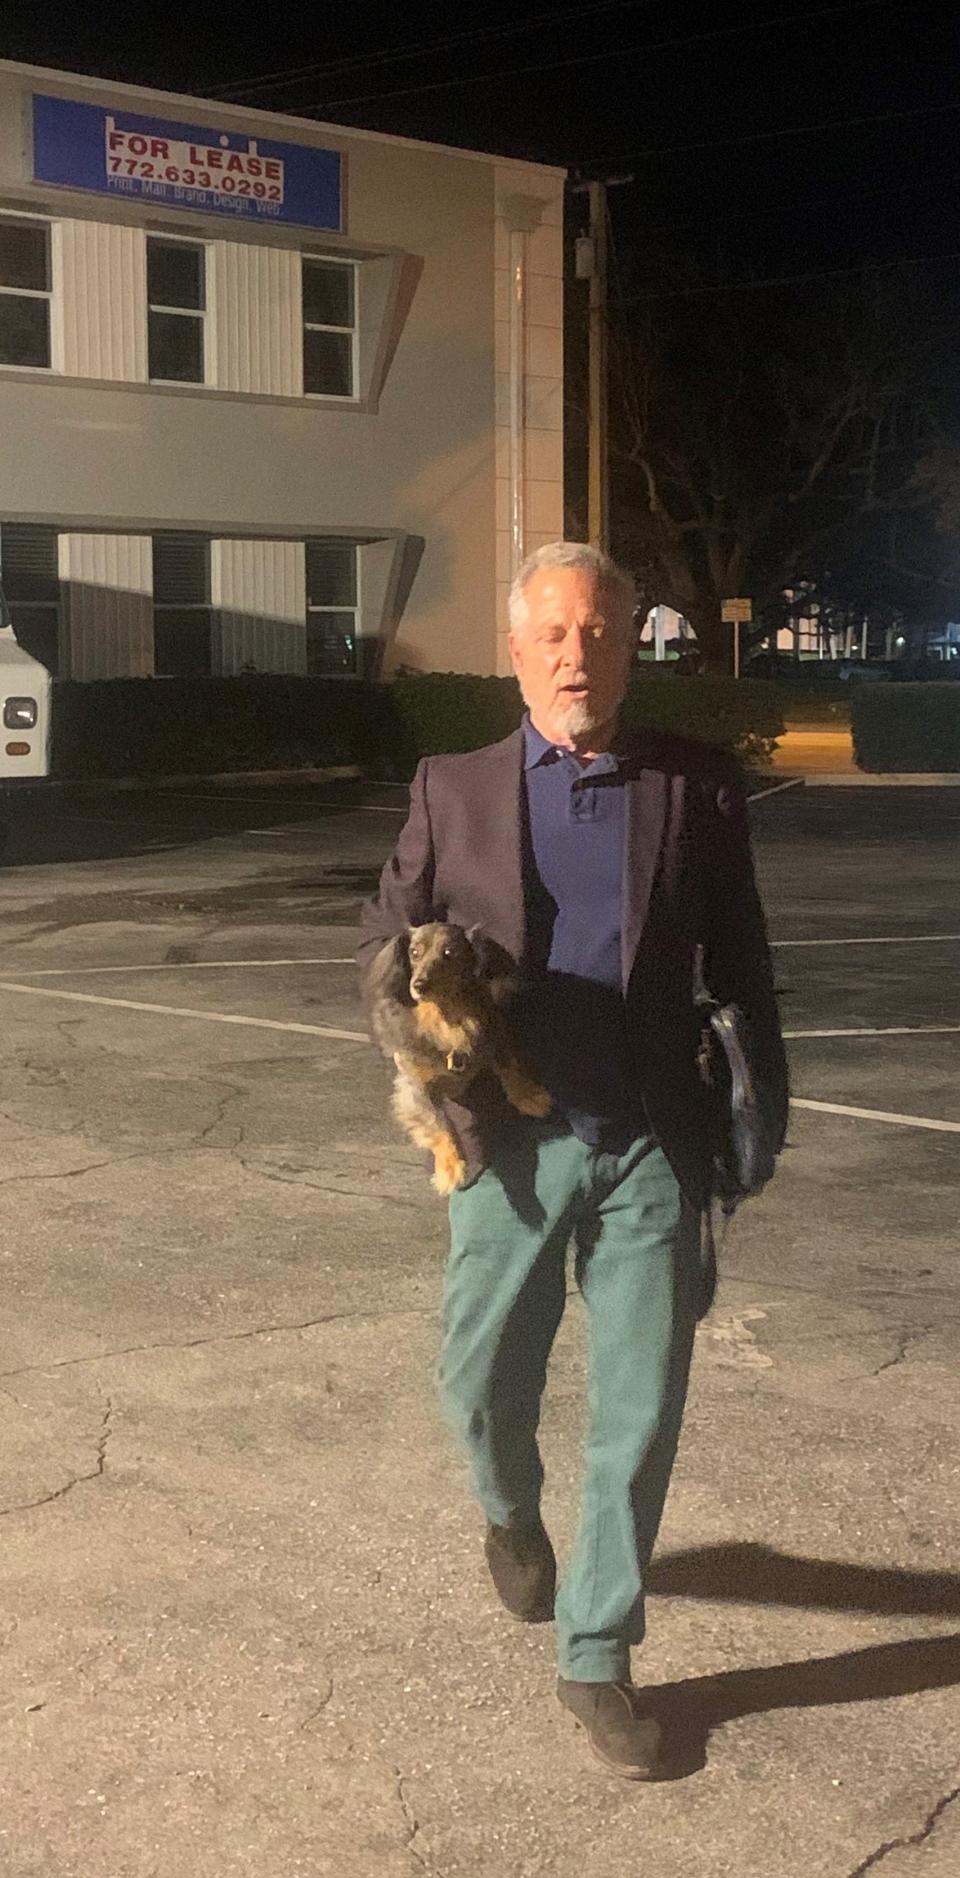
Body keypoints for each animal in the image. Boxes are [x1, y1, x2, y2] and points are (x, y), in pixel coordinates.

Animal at [366, 920, 552, 1194]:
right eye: (414, 953)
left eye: (449, 952)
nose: (419, 985)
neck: (446, 1018)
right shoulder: (415, 1085)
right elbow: (439, 1124)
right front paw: (450, 1167)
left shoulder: (493, 1032)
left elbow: (509, 1065)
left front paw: (529, 1096)